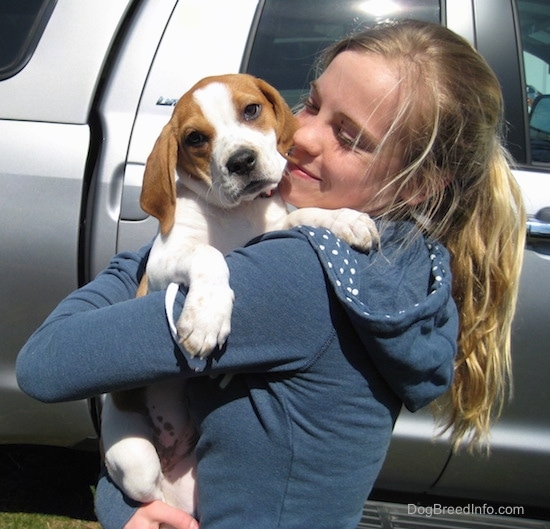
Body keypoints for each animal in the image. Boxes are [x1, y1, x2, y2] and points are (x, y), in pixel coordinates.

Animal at [101, 72, 380, 516]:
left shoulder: (275, 229)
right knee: (153, 498)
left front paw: (344, 219)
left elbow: (302, 215)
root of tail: (171, 453)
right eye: (196, 138)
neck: (239, 214)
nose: (241, 161)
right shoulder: (161, 265)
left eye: (251, 110)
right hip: (135, 461)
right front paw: (205, 319)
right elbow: (210, 254)